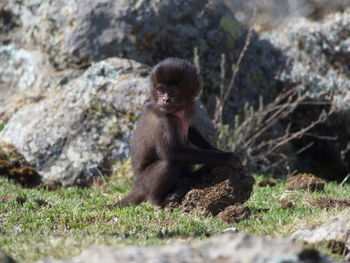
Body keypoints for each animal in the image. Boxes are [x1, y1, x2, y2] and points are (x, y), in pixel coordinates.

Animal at [117, 57, 241, 208]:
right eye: (161, 89)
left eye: (174, 90)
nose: (166, 99)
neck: (176, 112)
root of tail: (137, 186)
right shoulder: (164, 121)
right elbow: (173, 152)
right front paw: (226, 157)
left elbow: (190, 130)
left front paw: (219, 151)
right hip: (144, 181)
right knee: (168, 162)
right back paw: (157, 199)